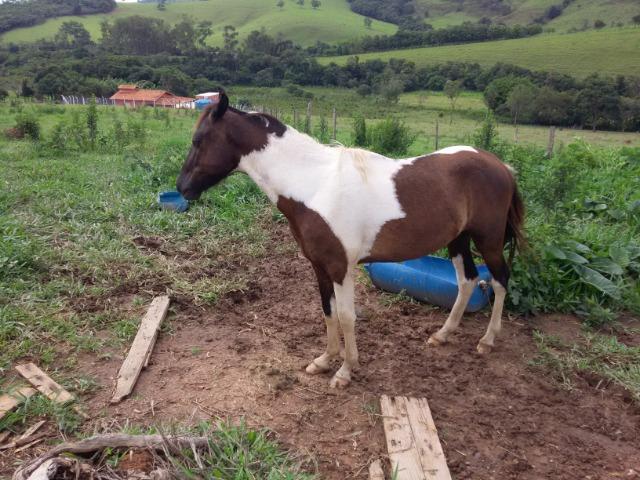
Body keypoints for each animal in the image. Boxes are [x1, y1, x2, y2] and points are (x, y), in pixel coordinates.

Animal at [178, 92, 524, 388]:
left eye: (198, 140)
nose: (182, 188)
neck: (315, 185)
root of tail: (501, 166)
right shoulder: (319, 266)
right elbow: (327, 311)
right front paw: (324, 361)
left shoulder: (341, 267)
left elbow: (346, 317)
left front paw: (345, 371)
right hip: (459, 240)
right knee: (467, 280)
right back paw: (443, 334)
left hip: (489, 240)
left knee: (499, 280)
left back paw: (487, 340)